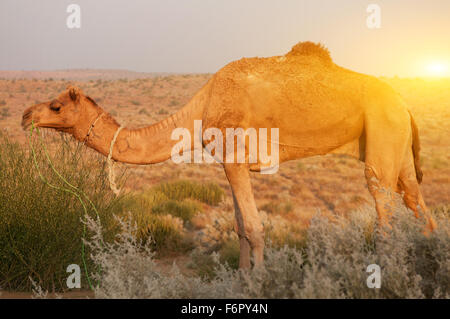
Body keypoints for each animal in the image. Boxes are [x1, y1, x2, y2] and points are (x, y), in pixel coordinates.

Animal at [22, 40, 436, 270]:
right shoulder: (229, 163)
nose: (26, 115)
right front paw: (242, 280)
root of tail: (405, 104)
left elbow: (254, 228)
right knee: (419, 204)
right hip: (396, 146)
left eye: (56, 106)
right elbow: (239, 229)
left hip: (382, 133)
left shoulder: (234, 156)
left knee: (383, 207)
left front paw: (262, 282)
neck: (202, 106)